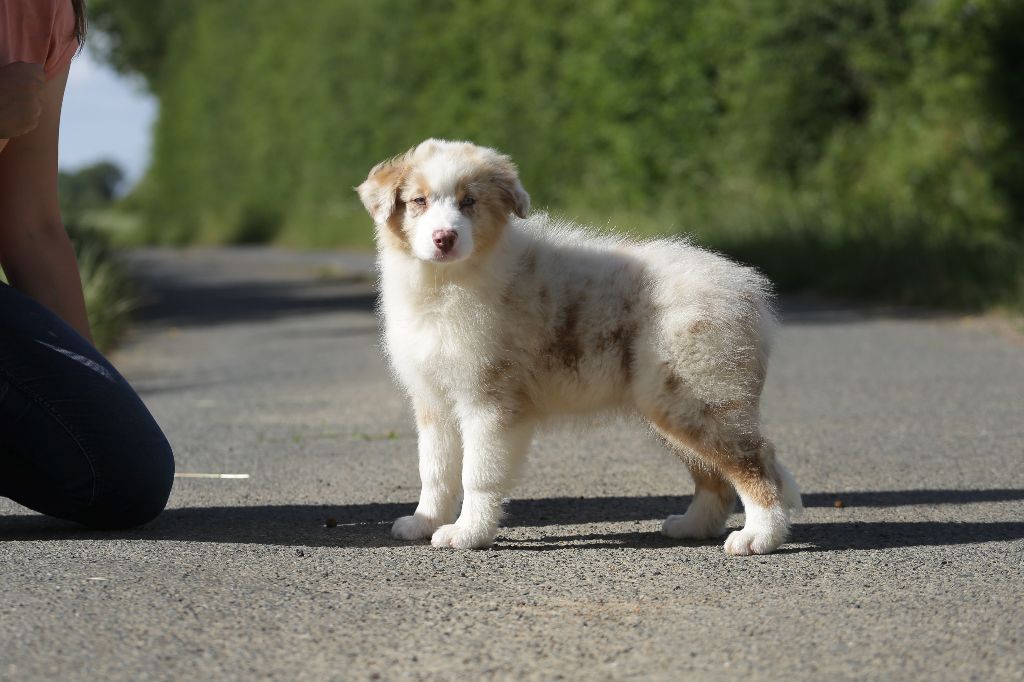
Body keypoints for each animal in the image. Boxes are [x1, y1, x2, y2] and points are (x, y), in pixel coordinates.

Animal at [357, 139, 802, 555]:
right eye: (418, 201)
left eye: (469, 202)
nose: (444, 238)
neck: (442, 285)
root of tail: (747, 289)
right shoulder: (433, 399)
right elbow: (434, 471)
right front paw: (424, 522)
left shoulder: (488, 401)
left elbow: (478, 474)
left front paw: (468, 534)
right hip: (672, 403)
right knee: (716, 476)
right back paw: (693, 526)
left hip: (699, 398)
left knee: (754, 463)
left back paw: (759, 537)